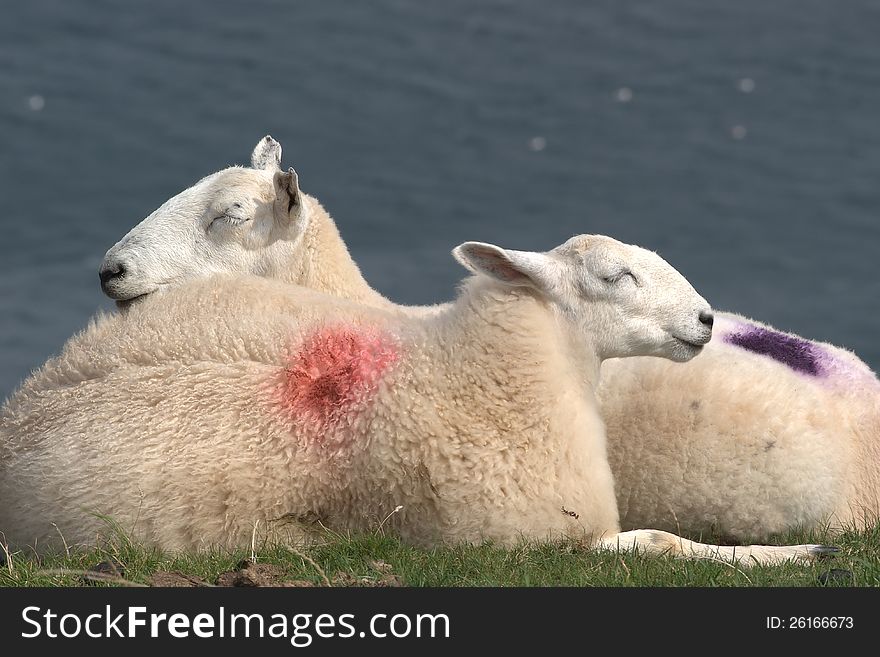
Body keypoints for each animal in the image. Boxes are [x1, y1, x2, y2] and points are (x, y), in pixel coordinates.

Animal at [0, 232, 828, 564]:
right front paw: (792, 552)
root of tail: (21, 407)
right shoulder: (532, 538)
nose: (706, 320)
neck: (472, 367)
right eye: (613, 277)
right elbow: (662, 540)